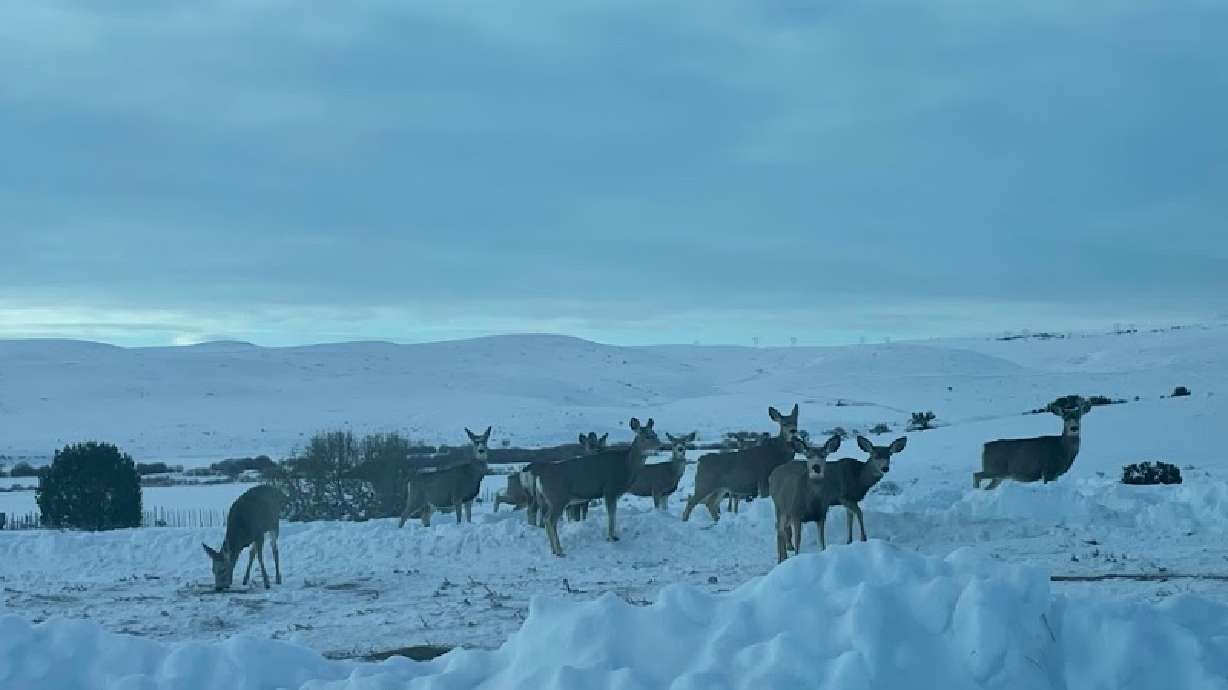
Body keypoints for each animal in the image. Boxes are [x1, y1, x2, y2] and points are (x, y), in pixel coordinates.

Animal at [532, 417, 661, 556]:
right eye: (647, 436)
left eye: (655, 434)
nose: (660, 445)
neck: (626, 466)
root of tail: (540, 477)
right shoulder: (609, 489)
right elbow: (611, 514)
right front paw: (611, 538)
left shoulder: (614, 493)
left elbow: (613, 513)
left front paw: (614, 536)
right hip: (558, 498)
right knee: (550, 520)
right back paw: (559, 551)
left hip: (550, 500)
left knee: (546, 519)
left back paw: (553, 550)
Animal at [768, 434, 843, 562]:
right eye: (808, 456)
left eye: (823, 455)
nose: (816, 467)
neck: (812, 502)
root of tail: (773, 473)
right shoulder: (796, 513)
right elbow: (798, 543)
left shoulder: (821, 515)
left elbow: (822, 542)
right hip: (779, 506)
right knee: (779, 529)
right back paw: (781, 559)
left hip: (787, 511)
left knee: (780, 528)